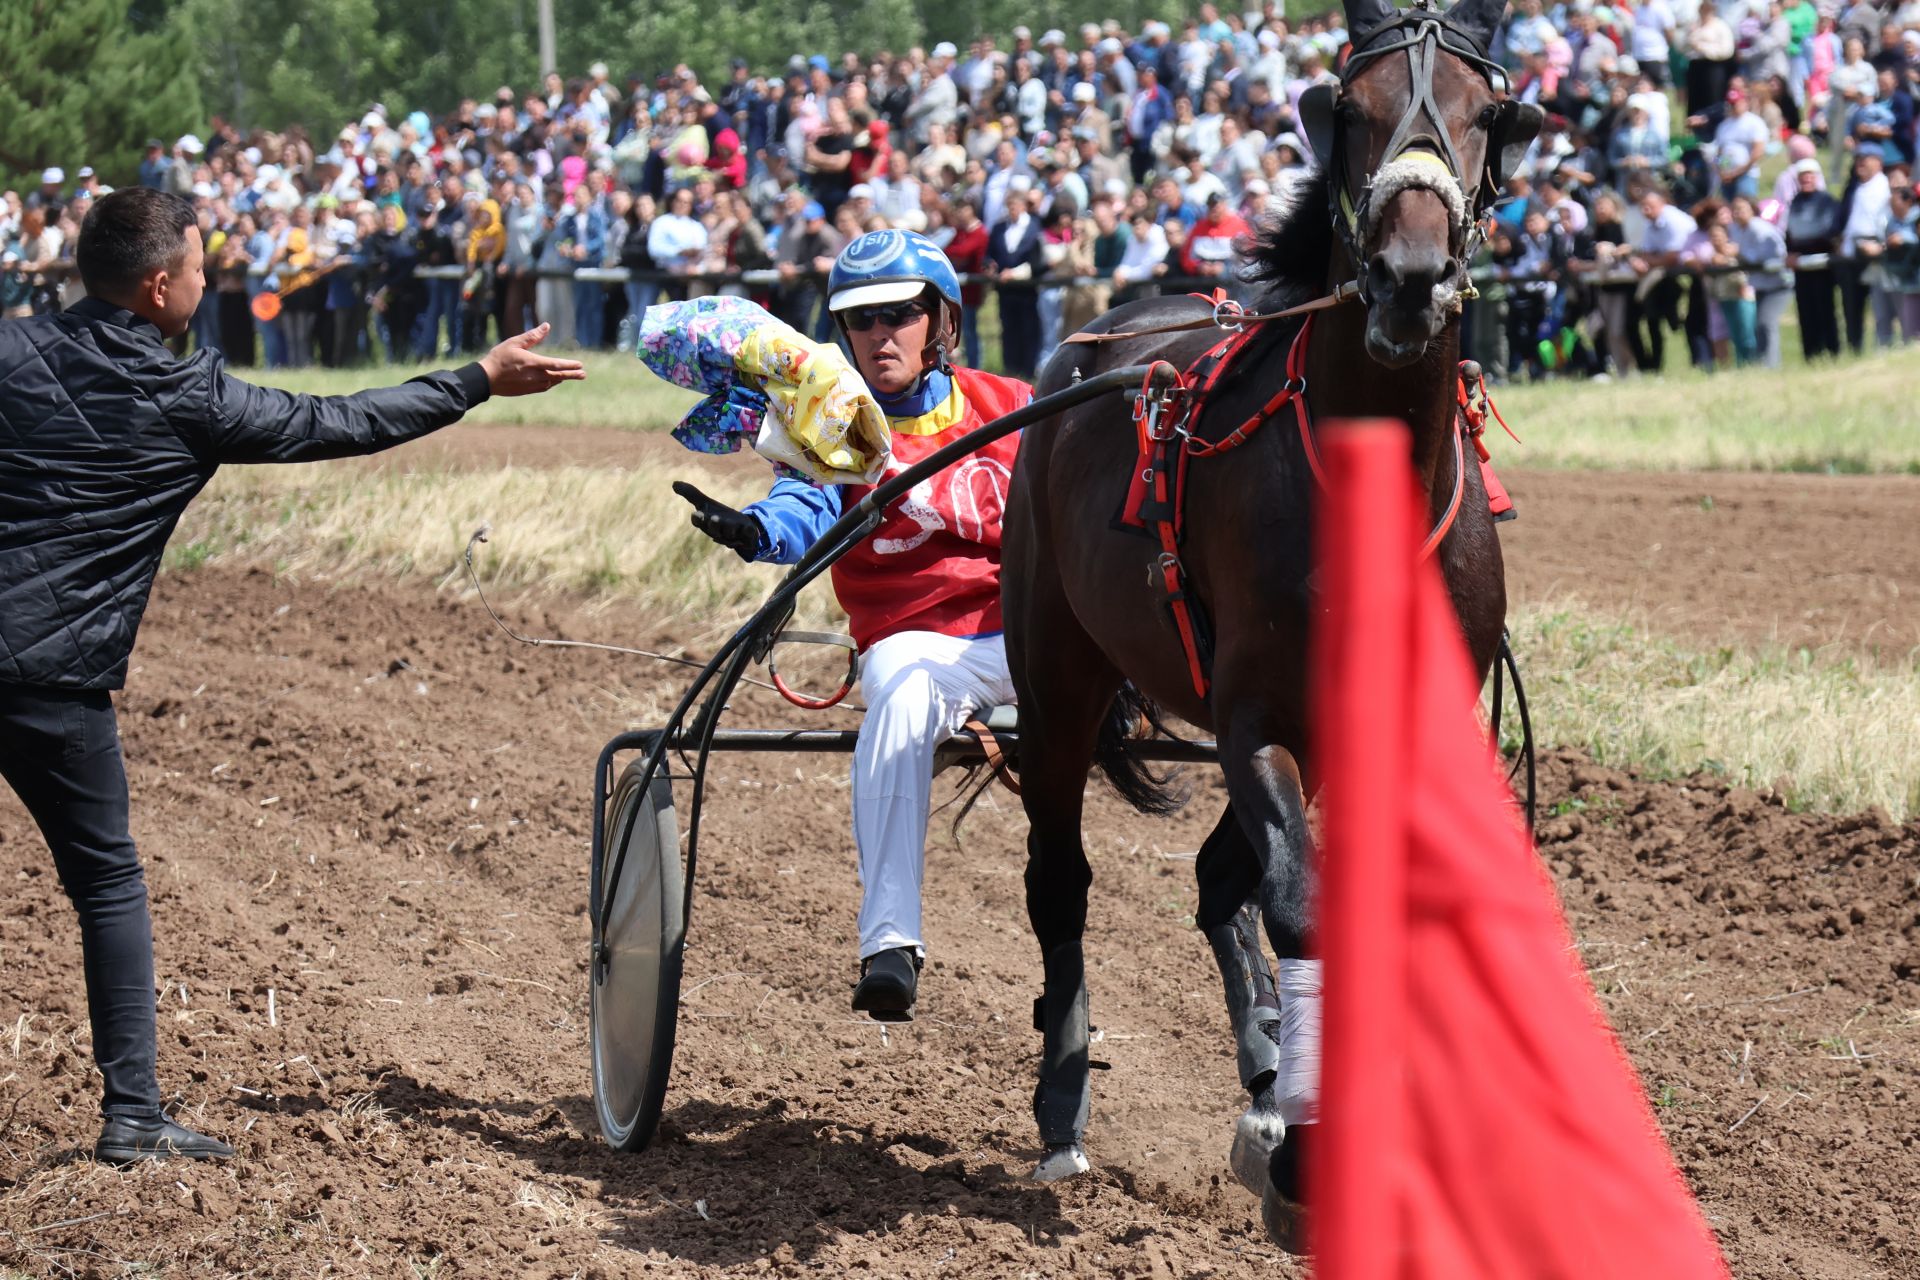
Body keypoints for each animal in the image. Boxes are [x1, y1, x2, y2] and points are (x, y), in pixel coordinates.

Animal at [998, 0, 1536, 1251]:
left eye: (1492, 114)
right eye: (1347, 107)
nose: (1408, 278)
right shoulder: (1257, 717)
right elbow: (1297, 898)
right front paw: (1306, 1161)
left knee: (1213, 879)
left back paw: (1262, 1073)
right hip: (1054, 671)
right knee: (1064, 874)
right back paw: (1068, 1101)